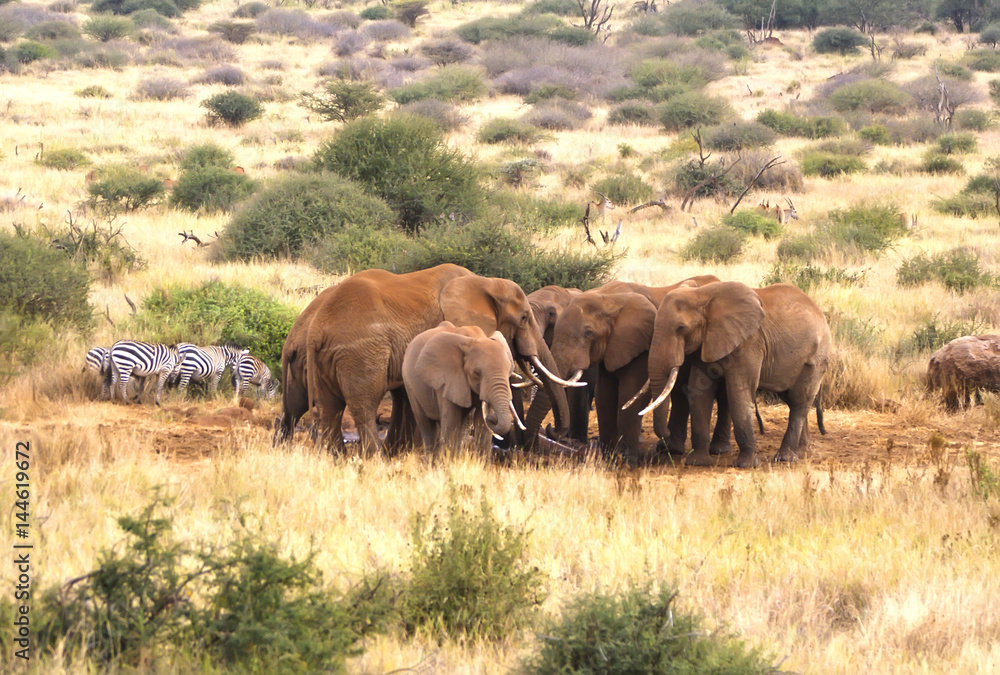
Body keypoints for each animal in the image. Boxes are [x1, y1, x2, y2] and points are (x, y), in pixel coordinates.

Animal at [402, 322, 519, 451]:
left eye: (509, 371)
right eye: (476, 373)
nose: (492, 418)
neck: (475, 338)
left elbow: (482, 430)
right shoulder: (447, 379)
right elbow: (450, 426)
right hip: (409, 384)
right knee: (427, 426)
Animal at [641, 281, 831, 468]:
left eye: (681, 328)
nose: (663, 442)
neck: (702, 295)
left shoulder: (748, 343)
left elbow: (738, 391)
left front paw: (746, 465)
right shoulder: (707, 342)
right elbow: (700, 391)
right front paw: (698, 462)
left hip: (816, 358)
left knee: (800, 400)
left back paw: (785, 458)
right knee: (791, 398)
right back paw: (801, 452)